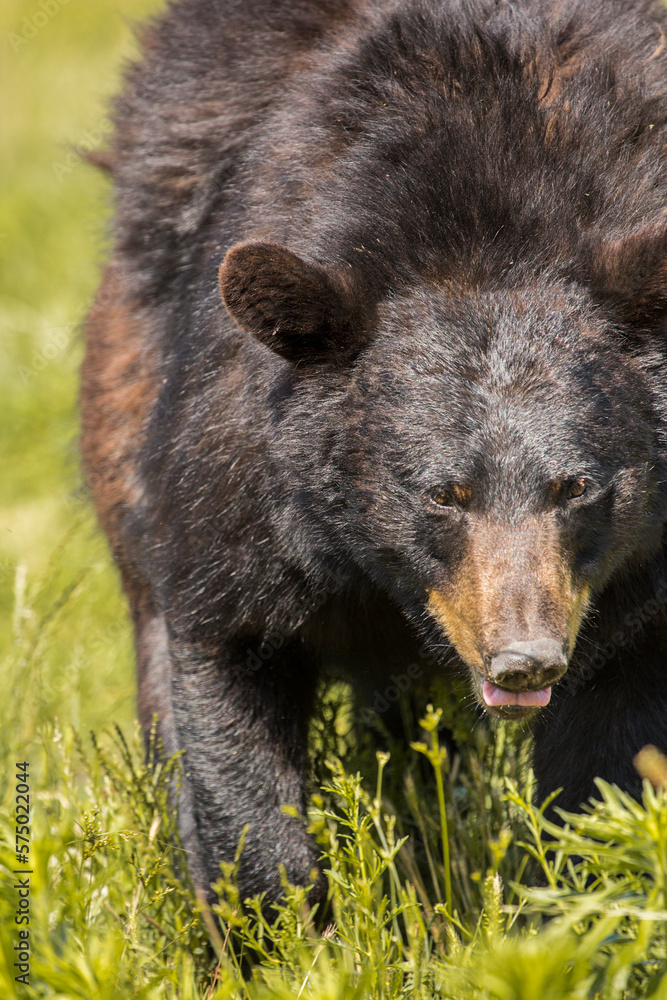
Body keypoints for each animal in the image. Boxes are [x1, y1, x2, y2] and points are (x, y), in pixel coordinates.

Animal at [81, 0, 667, 903]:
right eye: (441, 493)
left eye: (576, 487)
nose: (526, 660)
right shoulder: (240, 471)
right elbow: (225, 655)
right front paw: (275, 921)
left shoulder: (637, 583)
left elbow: (607, 762)